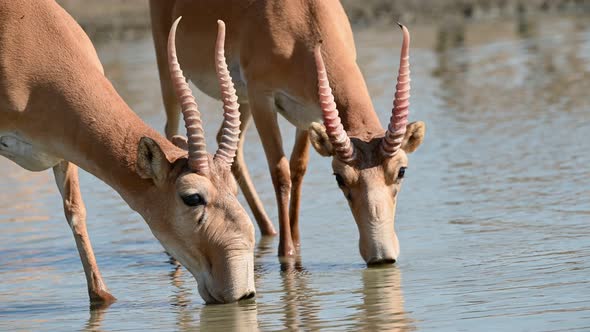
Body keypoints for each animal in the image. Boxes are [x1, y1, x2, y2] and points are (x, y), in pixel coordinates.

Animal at [0, 0, 254, 306]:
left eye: (234, 189)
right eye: (192, 197)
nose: (240, 291)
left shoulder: (62, 152)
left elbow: (76, 212)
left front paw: (102, 296)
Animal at [150, 0, 428, 264]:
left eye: (401, 170)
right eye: (339, 177)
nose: (381, 255)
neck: (303, 17)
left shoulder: (308, 113)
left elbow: (298, 168)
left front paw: (296, 240)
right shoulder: (262, 97)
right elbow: (280, 172)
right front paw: (287, 252)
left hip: (240, 99)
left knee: (229, 144)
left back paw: (268, 229)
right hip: (171, 70)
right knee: (169, 131)